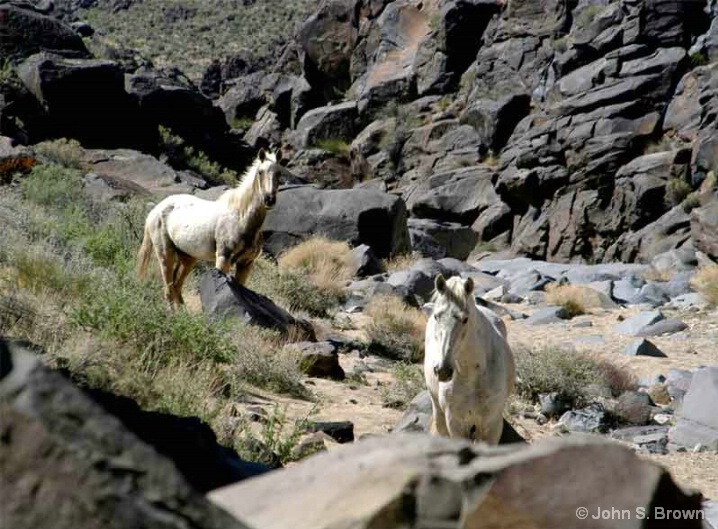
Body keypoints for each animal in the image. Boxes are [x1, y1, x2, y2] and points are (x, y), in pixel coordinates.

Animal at [136, 147, 282, 306]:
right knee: (168, 291)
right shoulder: (223, 258)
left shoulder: (246, 264)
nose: (269, 199)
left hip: (188, 258)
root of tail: (155, 210)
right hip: (165, 254)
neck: (241, 218)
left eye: (279, 173)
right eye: (260, 172)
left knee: (176, 287)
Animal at [422, 274, 516, 444]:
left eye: (465, 319)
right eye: (437, 316)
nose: (443, 370)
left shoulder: (492, 424)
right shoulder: (455, 422)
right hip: (439, 411)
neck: (473, 374)